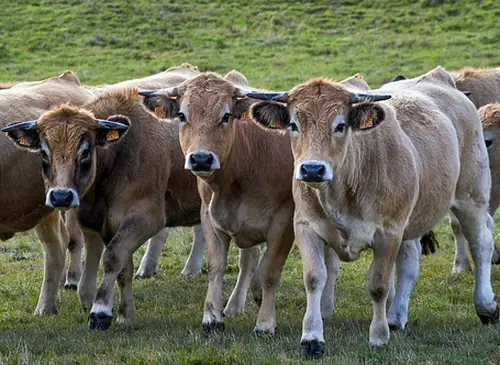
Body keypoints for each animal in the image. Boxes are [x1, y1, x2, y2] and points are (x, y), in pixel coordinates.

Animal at [246, 65, 496, 356]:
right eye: (294, 125)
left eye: (340, 125)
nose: (312, 169)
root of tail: (441, 79)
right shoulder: (307, 227)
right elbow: (314, 278)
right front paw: (312, 338)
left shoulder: (388, 233)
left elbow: (378, 285)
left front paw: (378, 336)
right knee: (409, 262)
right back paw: (396, 317)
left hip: (471, 197)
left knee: (481, 244)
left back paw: (486, 306)